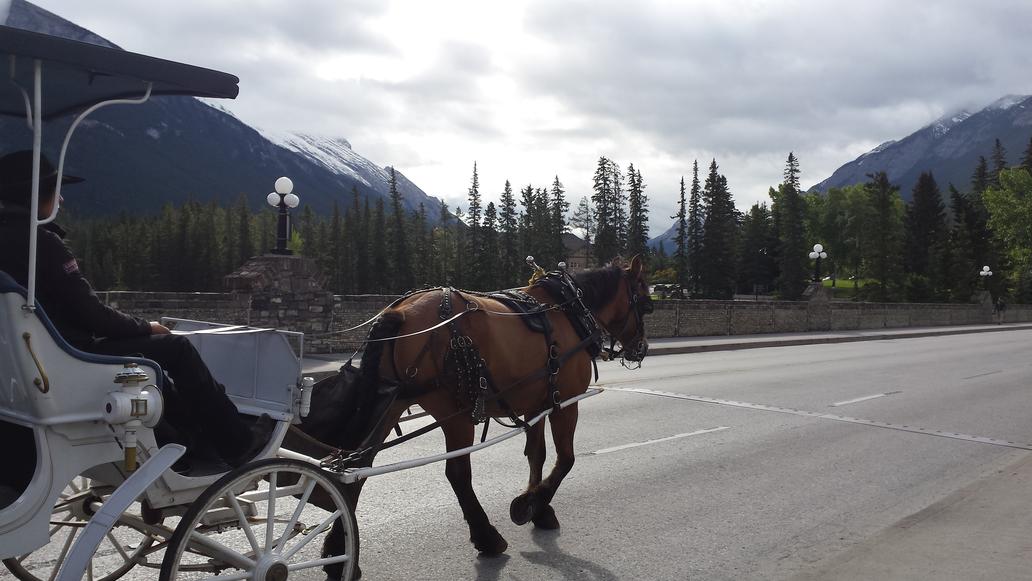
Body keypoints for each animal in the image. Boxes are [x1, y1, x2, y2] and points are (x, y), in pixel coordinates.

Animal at [285, 255, 653, 579]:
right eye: (645, 302)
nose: (641, 349)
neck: (569, 311)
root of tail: (399, 312)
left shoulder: (537, 403)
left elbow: (537, 455)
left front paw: (538, 505)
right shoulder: (566, 403)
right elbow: (565, 459)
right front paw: (530, 504)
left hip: (390, 401)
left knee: (357, 468)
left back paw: (337, 553)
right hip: (454, 412)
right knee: (457, 473)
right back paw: (486, 536)